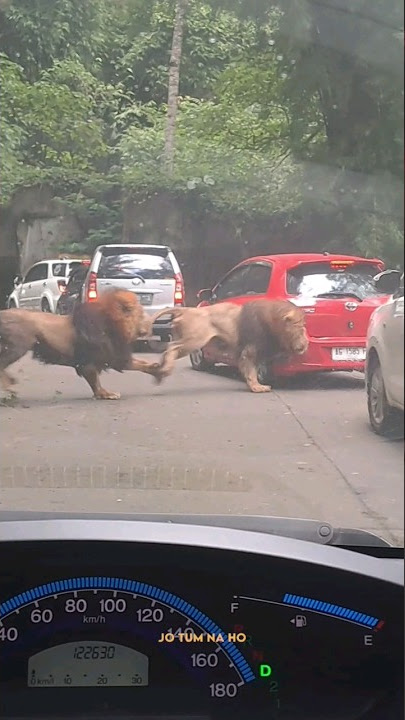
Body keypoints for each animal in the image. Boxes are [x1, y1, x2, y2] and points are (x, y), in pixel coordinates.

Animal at [0, 288, 161, 400]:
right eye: (141, 314)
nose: (150, 327)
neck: (113, 323)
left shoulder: (107, 356)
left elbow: (140, 363)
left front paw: (157, 368)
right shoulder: (101, 357)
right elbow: (95, 379)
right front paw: (105, 394)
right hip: (18, 345)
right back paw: (9, 385)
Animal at [150, 300, 308, 396]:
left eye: (304, 326)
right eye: (298, 327)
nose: (305, 344)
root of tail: (187, 310)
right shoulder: (249, 351)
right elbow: (251, 371)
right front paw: (257, 387)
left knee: (168, 348)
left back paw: (159, 371)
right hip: (195, 339)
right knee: (171, 347)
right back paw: (164, 370)